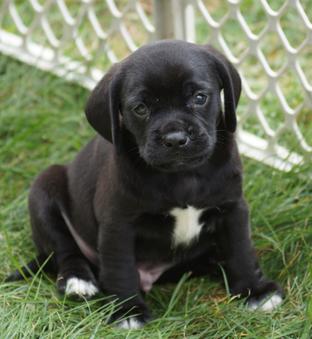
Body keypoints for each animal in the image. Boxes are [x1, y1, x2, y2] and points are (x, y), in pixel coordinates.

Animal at [8, 39, 284, 330]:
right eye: (140, 108)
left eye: (200, 97)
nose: (175, 138)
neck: (183, 175)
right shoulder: (118, 225)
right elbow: (121, 269)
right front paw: (128, 311)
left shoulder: (232, 208)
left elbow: (240, 250)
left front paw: (255, 291)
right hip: (43, 189)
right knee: (65, 249)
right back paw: (78, 281)